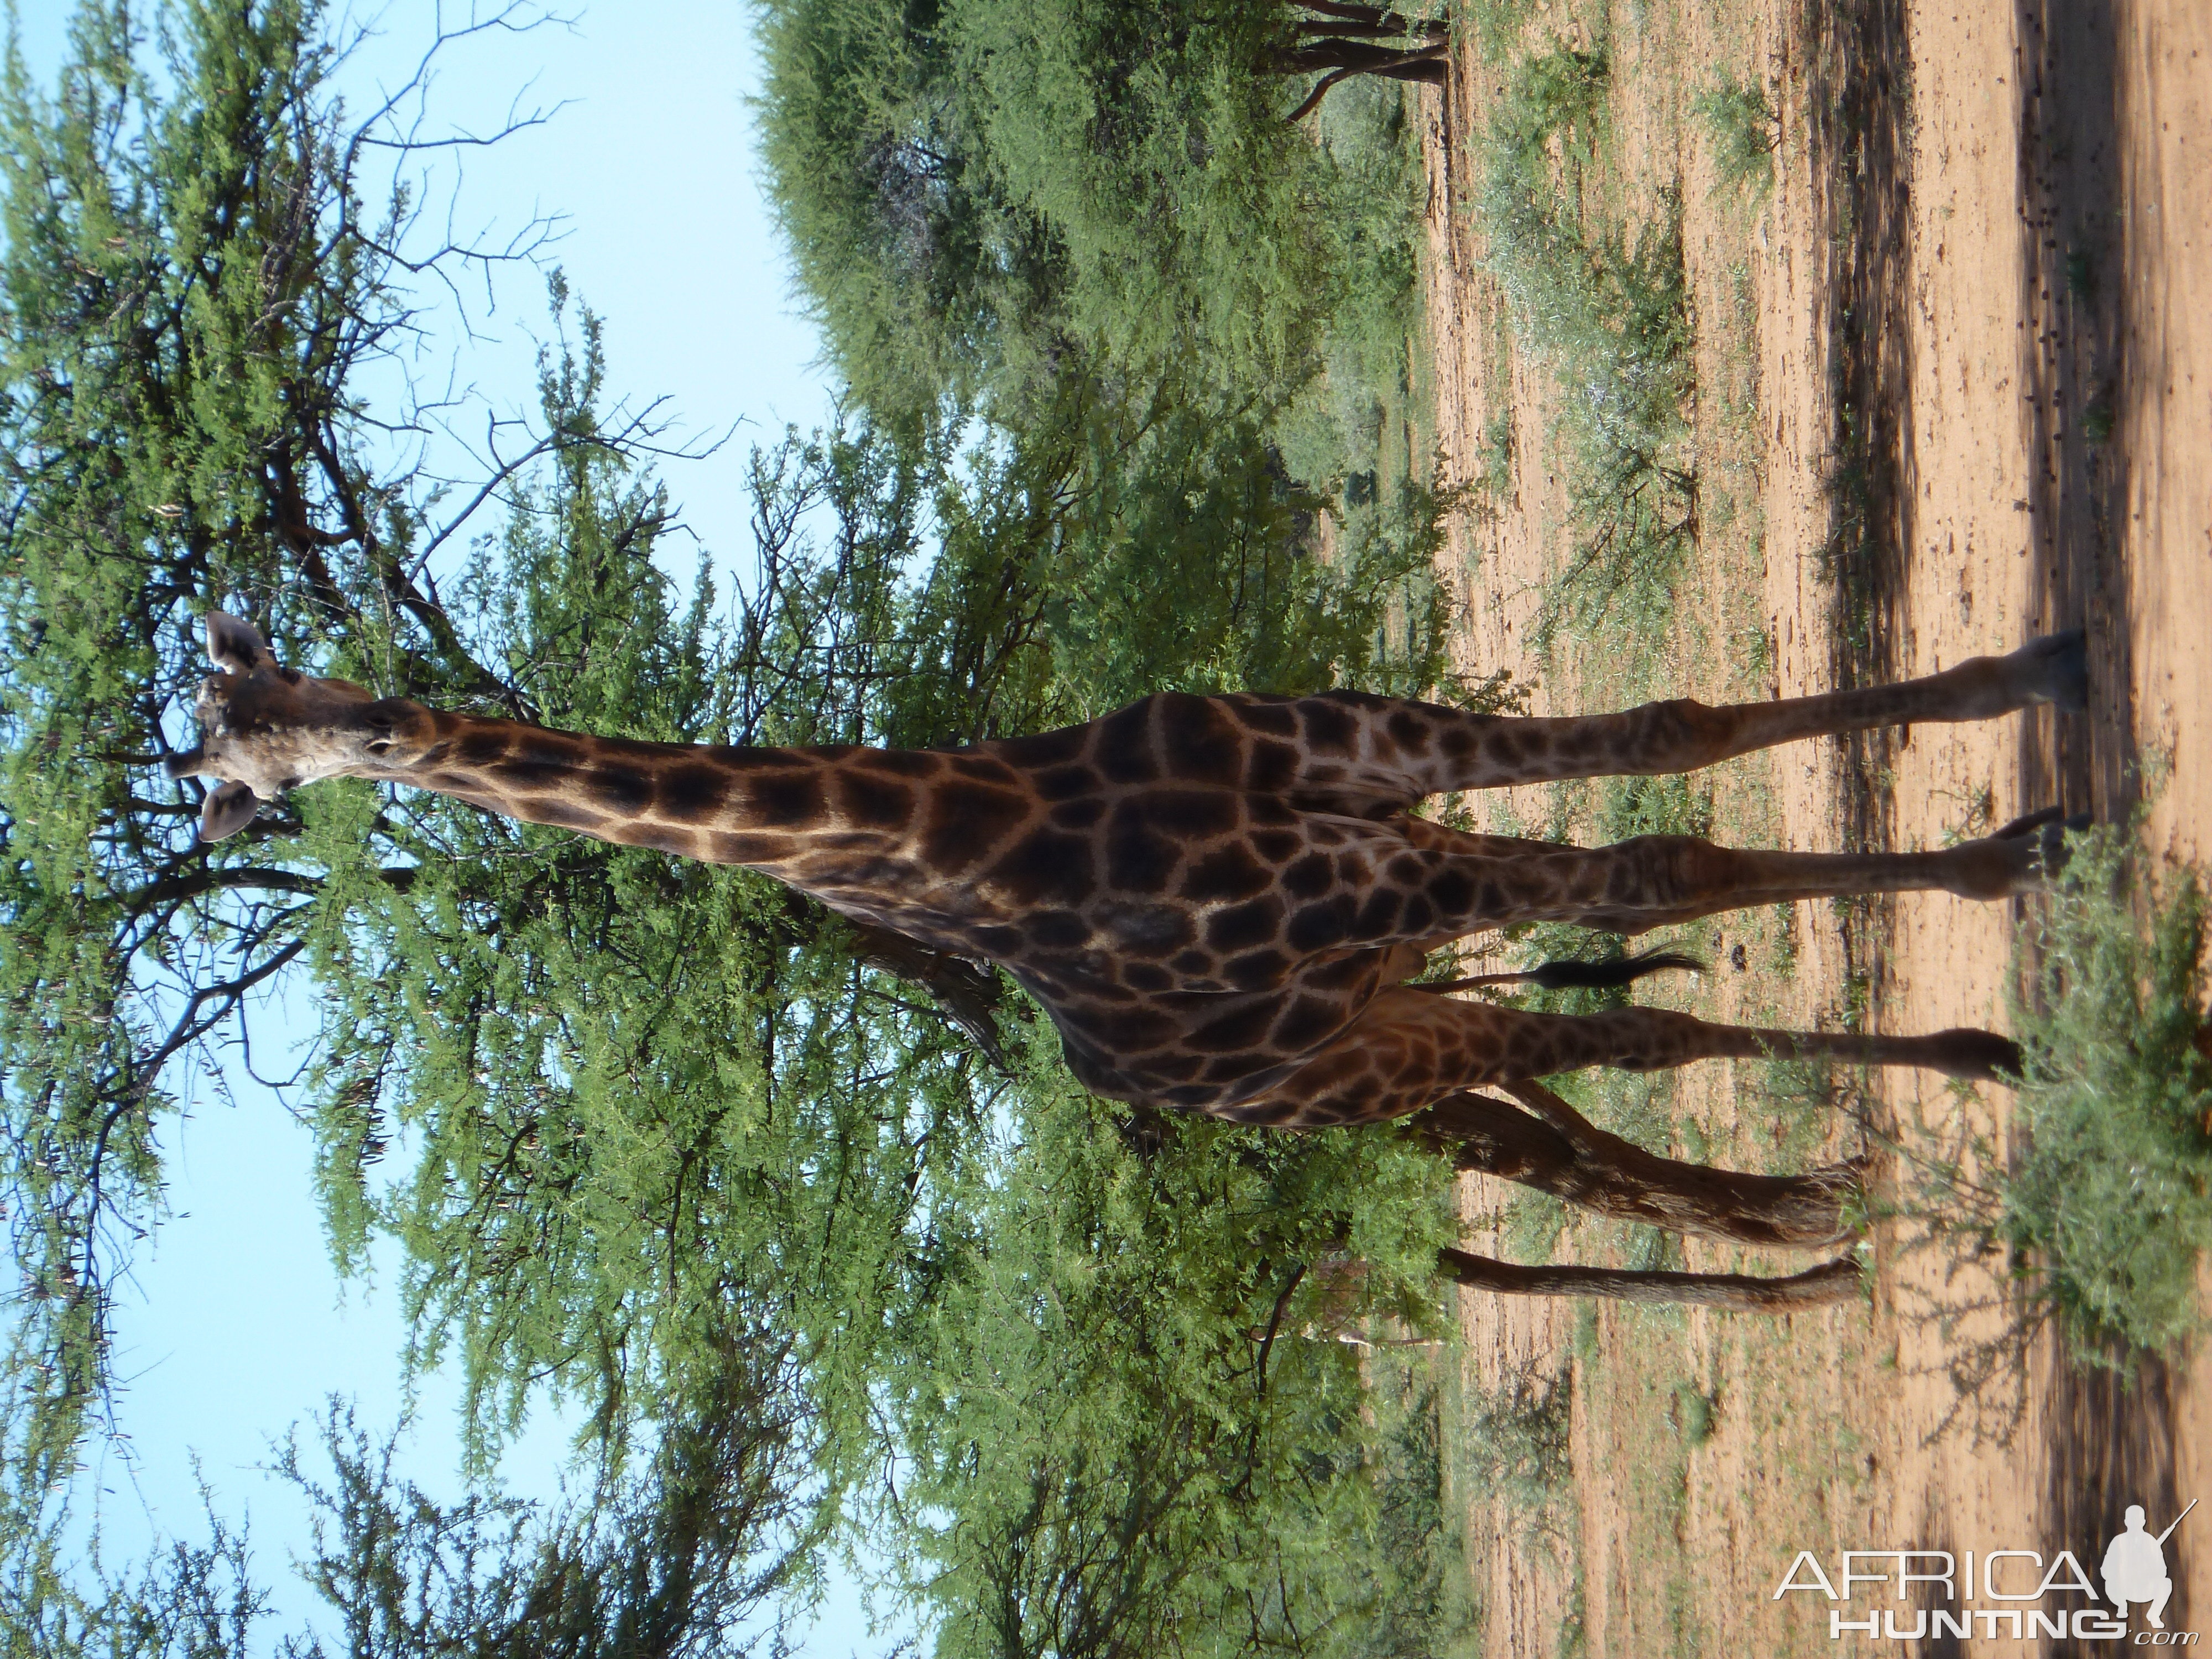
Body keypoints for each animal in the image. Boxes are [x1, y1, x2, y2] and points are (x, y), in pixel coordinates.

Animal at [173, 611, 2088, 1310]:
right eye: (231, 774)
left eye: (274, 719)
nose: (369, 738)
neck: (1004, 833)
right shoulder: (1381, 900)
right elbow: (1653, 878)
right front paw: (1990, 1000)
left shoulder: (1387, 769)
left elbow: (1677, 755)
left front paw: (2018, 704)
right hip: (1365, 1059)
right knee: (1594, 1101)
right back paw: (1806, 1226)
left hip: (1386, 1020)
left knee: (1590, 1094)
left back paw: (1804, 1218)